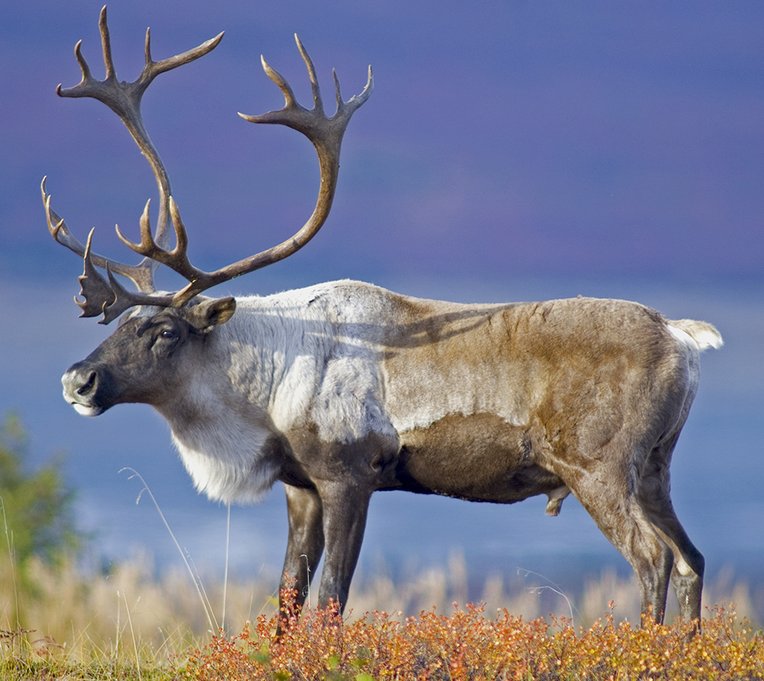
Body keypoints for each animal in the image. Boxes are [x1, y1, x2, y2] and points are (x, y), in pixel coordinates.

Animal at [44, 7, 722, 628]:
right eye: (117, 325)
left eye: (164, 332)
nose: (77, 380)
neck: (267, 387)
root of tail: (681, 337)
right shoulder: (301, 487)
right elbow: (287, 600)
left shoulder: (349, 476)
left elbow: (330, 602)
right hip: (654, 467)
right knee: (692, 558)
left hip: (598, 468)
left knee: (654, 558)